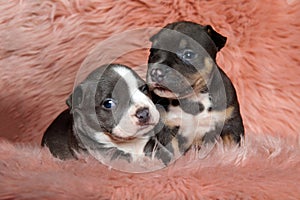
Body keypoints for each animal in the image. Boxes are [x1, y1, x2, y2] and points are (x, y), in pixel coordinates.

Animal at [146, 21, 245, 152]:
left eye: (188, 54)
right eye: (152, 52)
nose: (156, 72)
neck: (195, 97)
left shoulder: (231, 124)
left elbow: (233, 149)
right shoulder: (166, 128)